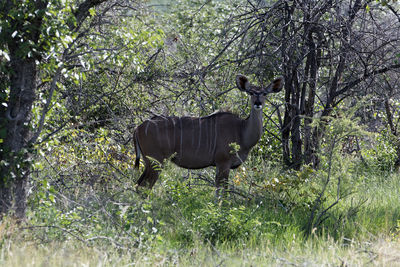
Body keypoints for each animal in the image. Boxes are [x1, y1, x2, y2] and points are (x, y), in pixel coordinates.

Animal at [133, 74, 282, 196]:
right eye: (251, 92)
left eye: (265, 93)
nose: (258, 103)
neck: (241, 130)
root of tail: (138, 128)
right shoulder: (223, 163)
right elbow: (222, 193)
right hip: (156, 162)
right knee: (144, 187)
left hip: (148, 162)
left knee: (138, 185)